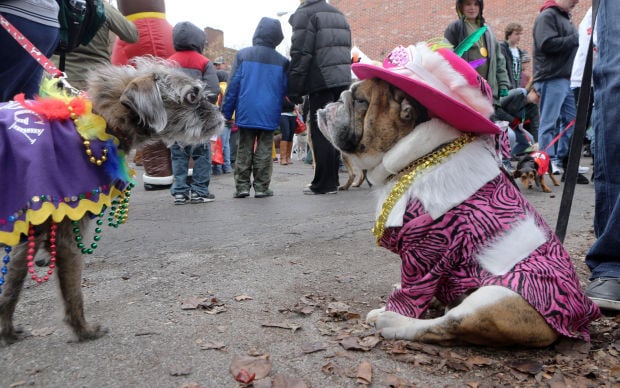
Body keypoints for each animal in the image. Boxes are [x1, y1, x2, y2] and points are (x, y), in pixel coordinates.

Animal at [0, 56, 223, 342]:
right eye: (192, 95)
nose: (218, 110)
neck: (103, 120)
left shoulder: (30, 231)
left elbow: (12, 285)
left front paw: (6, 330)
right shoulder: (66, 235)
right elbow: (73, 290)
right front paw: (83, 330)